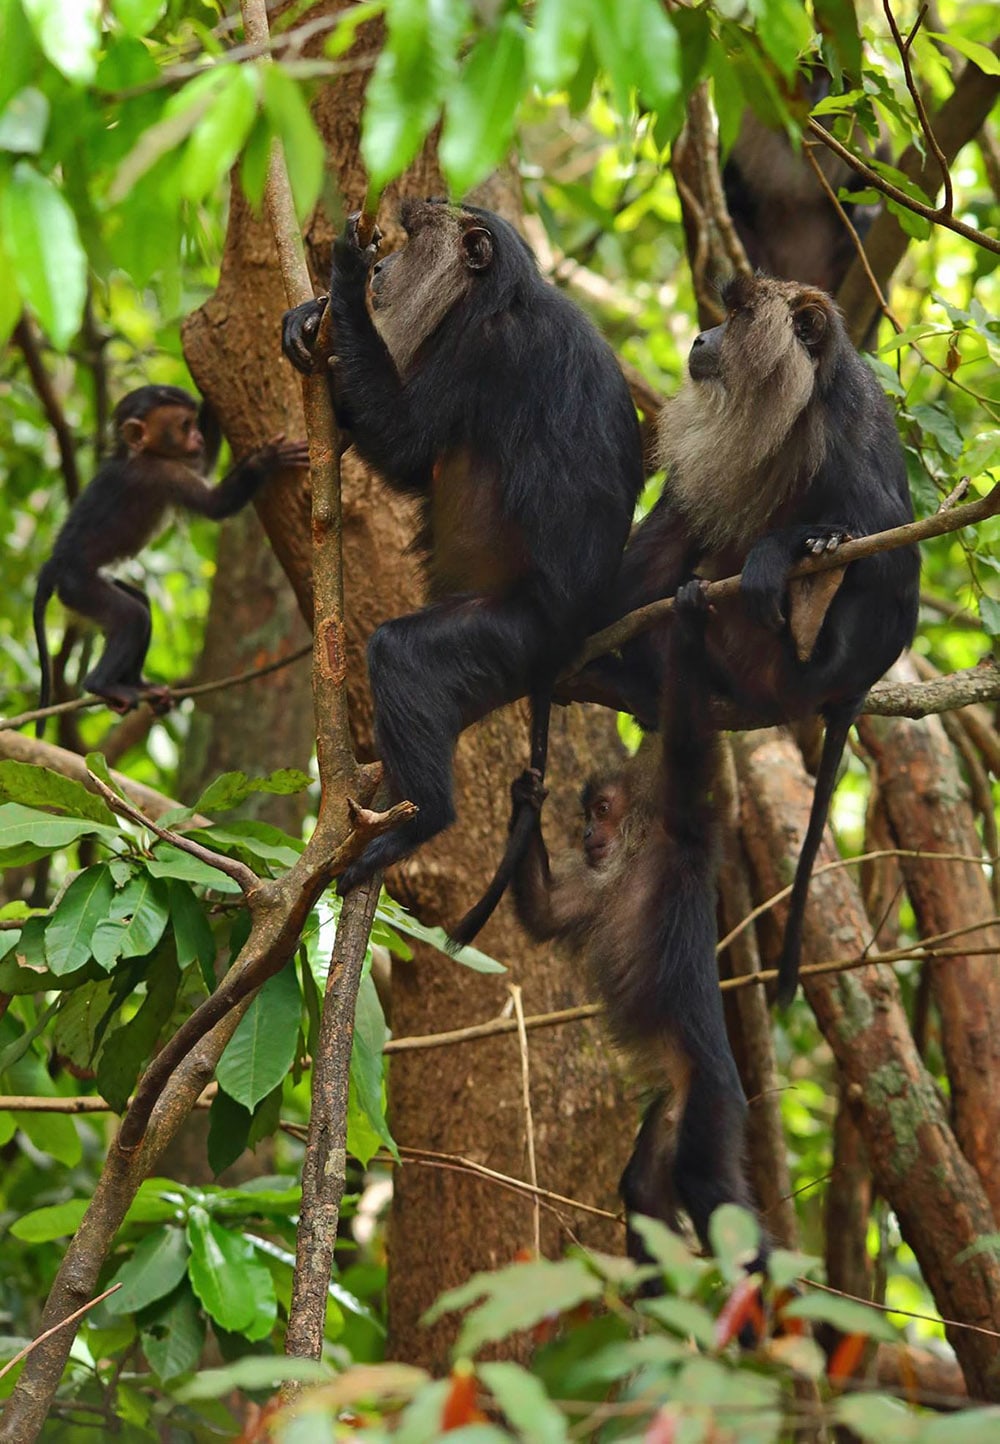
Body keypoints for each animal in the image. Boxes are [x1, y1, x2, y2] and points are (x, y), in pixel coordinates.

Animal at [33, 385, 308, 734]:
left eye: (193, 423)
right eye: (184, 425)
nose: (198, 437)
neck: (139, 454)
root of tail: (55, 563)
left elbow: (203, 466)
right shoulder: (163, 473)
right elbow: (214, 504)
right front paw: (267, 459)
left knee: (141, 605)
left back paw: (137, 684)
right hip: (79, 586)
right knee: (131, 617)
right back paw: (101, 684)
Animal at [281, 201, 643, 897]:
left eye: (414, 239)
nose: (384, 267)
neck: (488, 299)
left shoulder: (488, 349)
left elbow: (404, 438)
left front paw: (345, 277)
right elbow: (410, 459)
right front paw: (308, 318)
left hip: (517, 633)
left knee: (404, 654)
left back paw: (421, 822)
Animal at [510, 606, 769, 1278]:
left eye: (601, 809)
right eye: (585, 816)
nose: (586, 833)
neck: (637, 854)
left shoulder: (686, 825)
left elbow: (685, 741)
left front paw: (688, 624)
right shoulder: (595, 888)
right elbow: (545, 913)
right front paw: (524, 797)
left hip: (709, 1107)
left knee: (712, 1193)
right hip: (670, 1117)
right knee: (646, 1186)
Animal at [579, 274, 920, 1005]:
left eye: (736, 319)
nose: (701, 336)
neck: (795, 409)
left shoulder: (850, 428)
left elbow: (894, 562)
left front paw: (788, 551)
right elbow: (658, 548)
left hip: (774, 664)